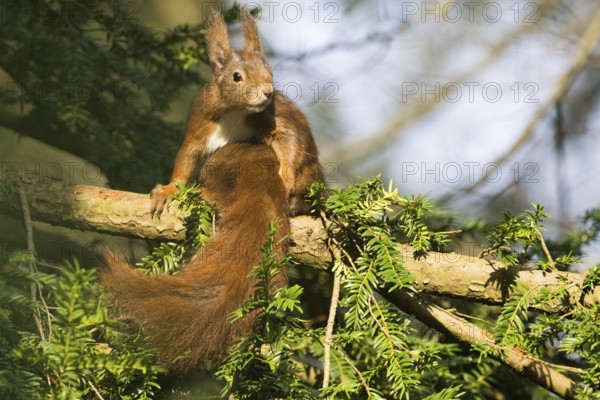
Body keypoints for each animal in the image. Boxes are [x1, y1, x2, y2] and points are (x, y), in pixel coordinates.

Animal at [152, 8, 326, 216]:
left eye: (270, 71)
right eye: (237, 76)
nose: (267, 92)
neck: (235, 110)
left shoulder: (269, 116)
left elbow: (290, 139)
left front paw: (286, 177)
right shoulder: (202, 119)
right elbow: (188, 154)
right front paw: (168, 189)